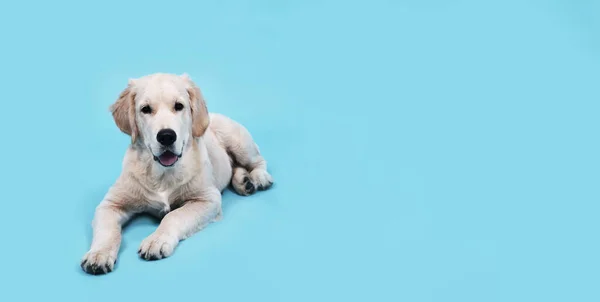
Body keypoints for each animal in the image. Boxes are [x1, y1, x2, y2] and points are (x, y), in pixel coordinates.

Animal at [81, 72, 274, 274]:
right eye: (145, 109)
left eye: (179, 106)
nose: (166, 136)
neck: (162, 172)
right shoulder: (110, 204)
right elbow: (107, 230)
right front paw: (98, 254)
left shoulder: (207, 199)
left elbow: (173, 216)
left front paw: (156, 241)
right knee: (234, 166)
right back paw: (243, 181)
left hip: (239, 141)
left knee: (257, 160)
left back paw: (259, 178)